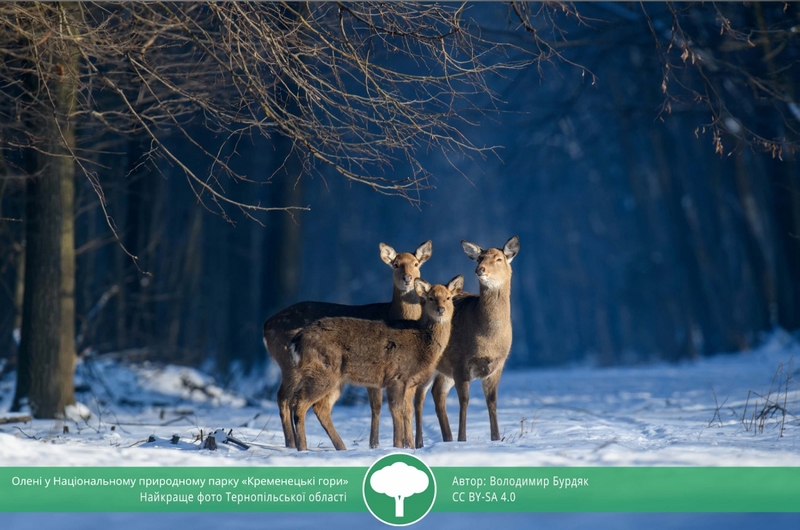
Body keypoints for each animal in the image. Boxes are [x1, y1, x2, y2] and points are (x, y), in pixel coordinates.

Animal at [262, 239, 432, 446]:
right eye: (396, 264)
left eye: (416, 264)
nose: (408, 278)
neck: (393, 314)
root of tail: (266, 325)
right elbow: (377, 405)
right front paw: (376, 444)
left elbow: (404, 407)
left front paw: (408, 444)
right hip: (290, 362)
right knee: (284, 398)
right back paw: (293, 444)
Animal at [290, 274, 462, 452]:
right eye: (431, 298)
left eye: (448, 298)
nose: (441, 309)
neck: (421, 343)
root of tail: (296, 341)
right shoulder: (396, 377)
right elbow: (396, 410)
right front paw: (398, 446)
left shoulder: (411, 383)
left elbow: (407, 411)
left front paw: (409, 446)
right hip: (322, 372)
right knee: (300, 402)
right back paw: (303, 447)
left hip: (336, 379)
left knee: (321, 407)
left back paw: (341, 447)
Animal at [412, 235, 520, 446]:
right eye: (479, 258)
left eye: (498, 259)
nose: (480, 270)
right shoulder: (460, 362)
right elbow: (465, 401)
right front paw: (463, 439)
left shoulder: (497, 365)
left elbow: (492, 402)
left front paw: (496, 438)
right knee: (418, 398)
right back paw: (420, 442)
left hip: (444, 370)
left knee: (437, 393)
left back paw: (447, 438)